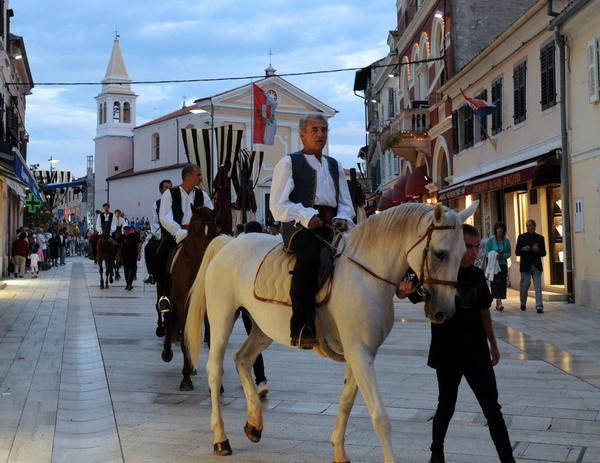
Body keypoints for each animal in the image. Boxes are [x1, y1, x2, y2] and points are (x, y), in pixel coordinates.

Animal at [159, 207, 218, 392]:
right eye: (196, 233)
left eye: (215, 232)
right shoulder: (181, 305)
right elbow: (185, 339)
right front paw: (185, 379)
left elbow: (211, 341)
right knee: (168, 317)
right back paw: (167, 352)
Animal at [185, 201, 476, 462]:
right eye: (440, 253)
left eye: (463, 252)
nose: (445, 311)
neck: (367, 274)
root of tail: (228, 242)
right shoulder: (359, 353)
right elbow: (380, 417)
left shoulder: (362, 353)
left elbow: (346, 401)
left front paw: (339, 451)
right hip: (222, 317)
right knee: (215, 369)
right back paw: (220, 438)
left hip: (262, 327)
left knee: (242, 359)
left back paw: (254, 423)